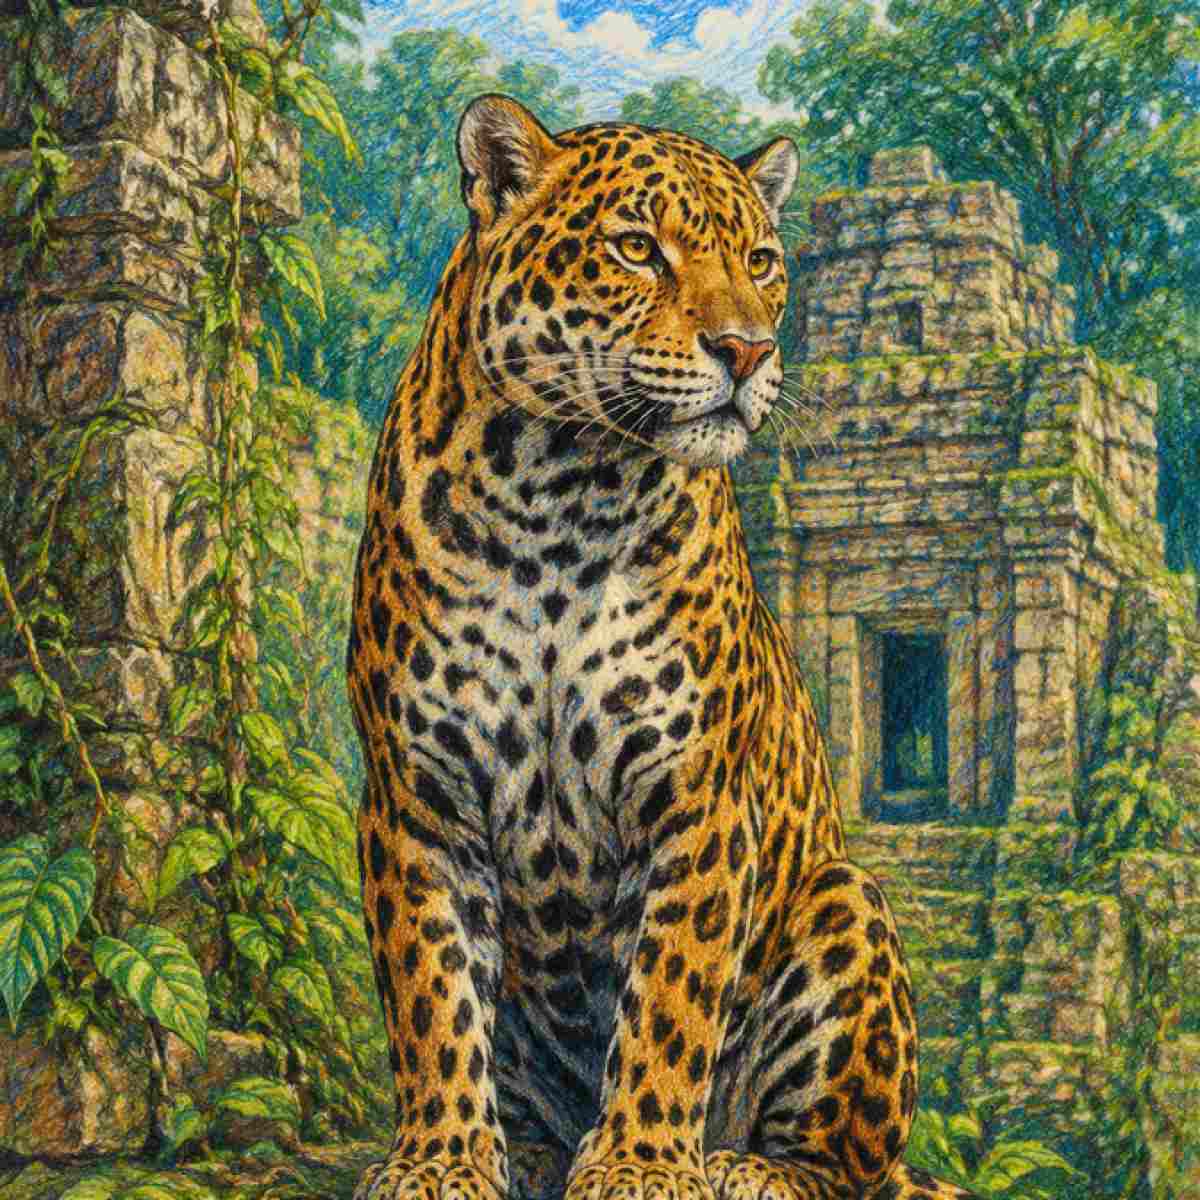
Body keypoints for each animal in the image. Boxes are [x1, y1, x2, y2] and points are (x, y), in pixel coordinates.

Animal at [346, 94, 977, 1200]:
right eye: (637, 249)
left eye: (762, 261)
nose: (747, 351)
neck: (558, 495)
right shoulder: (417, 797)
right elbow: (434, 1000)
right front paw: (439, 1161)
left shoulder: (698, 799)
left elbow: (670, 1002)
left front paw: (642, 1163)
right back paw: (535, 1150)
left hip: (843, 903)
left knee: (850, 1165)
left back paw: (744, 1168)